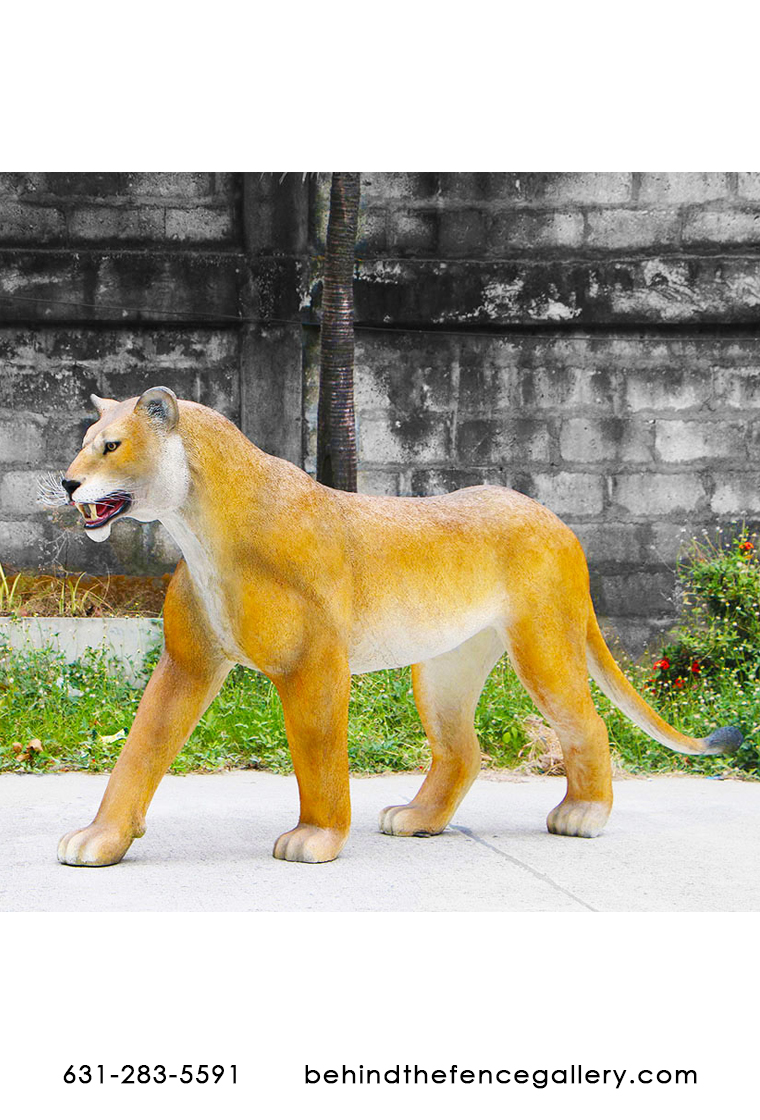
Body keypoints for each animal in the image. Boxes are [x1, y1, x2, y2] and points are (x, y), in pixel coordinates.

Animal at [54, 386, 741, 866]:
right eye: (87, 438)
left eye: (111, 445)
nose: (67, 482)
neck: (196, 529)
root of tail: (555, 518)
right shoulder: (188, 661)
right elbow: (141, 748)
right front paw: (100, 838)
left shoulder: (313, 664)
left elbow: (318, 753)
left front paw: (316, 837)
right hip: (445, 667)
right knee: (464, 750)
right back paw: (418, 819)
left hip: (543, 643)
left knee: (587, 724)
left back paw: (583, 814)